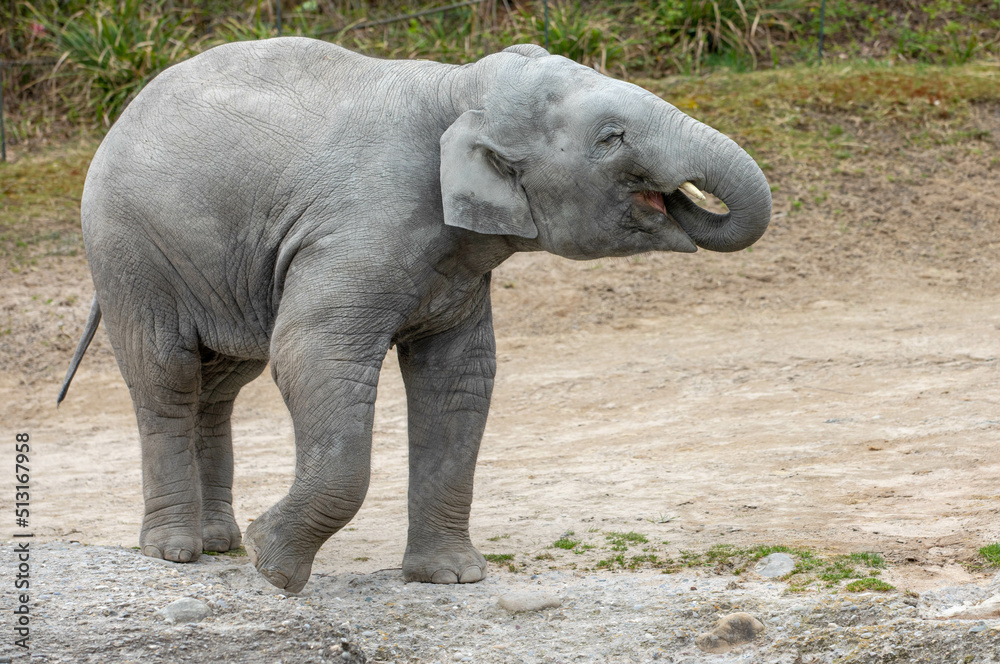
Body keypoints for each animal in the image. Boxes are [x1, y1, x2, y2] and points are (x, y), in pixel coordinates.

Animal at [59, 37, 771, 592]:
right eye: (611, 138)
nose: (683, 197)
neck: (456, 86)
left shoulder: (458, 265)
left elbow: (459, 379)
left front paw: (451, 578)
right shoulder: (360, 229)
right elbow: (313, 355)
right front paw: (273, 566)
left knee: (224, 381)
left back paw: (219, 543)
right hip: (130, 252)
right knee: (166, 375)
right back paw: (177, 552)